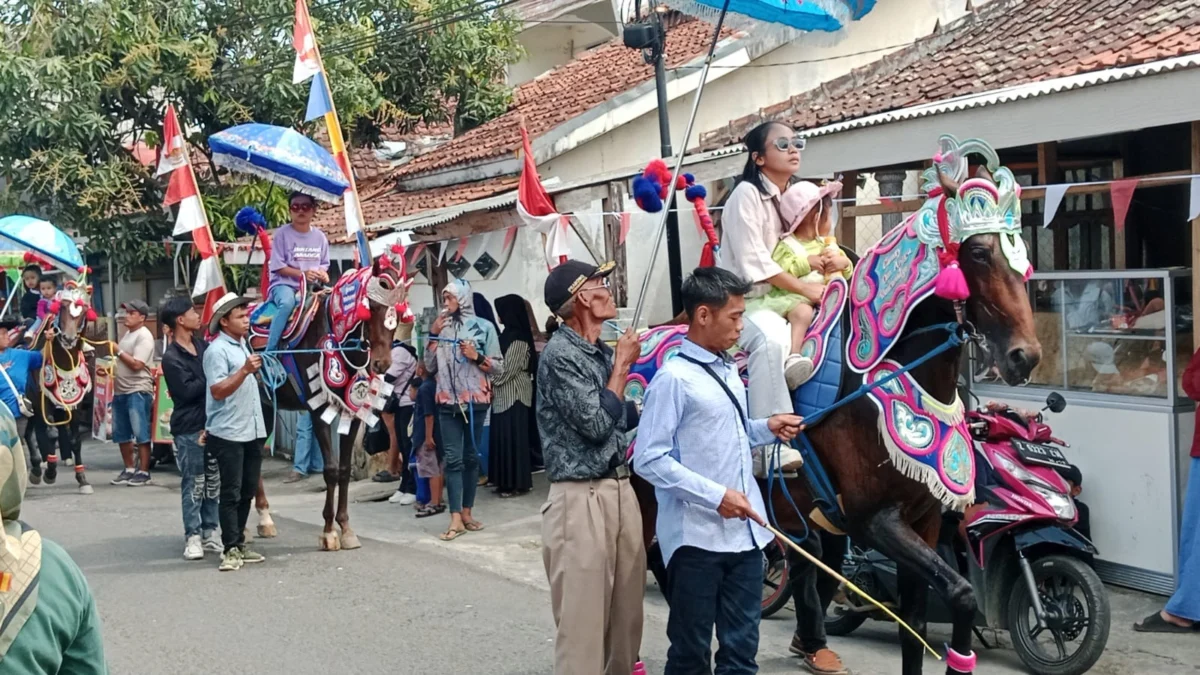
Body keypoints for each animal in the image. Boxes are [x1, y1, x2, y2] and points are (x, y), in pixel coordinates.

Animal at [26, 276, 97, 492]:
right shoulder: (43, 400)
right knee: (32, 432)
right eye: (63, 308)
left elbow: (75, 440)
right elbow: (50, 434)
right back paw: (37, 468)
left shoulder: (75, 404)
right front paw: (50, 471)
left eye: (83, 312)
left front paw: (82, 478)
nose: (68, 338)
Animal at [244, 239, 412, 550]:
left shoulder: (353, 412)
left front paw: (345, 529)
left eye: (399, 309)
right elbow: (331, 469)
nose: (382, 364)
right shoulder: (318, 411)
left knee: (255, 453)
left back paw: (265, 519)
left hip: (263, 405)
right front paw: (328, 531)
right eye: (371, 306)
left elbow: (344, 469)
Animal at [628, 133, 1041, 667]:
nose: (1024, 357)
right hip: (645, 491)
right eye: (978, 253)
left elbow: (917, 626)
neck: (886, 373)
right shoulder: (874, 521)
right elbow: (963, 594)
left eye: (1022, 253)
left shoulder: (924, 520)